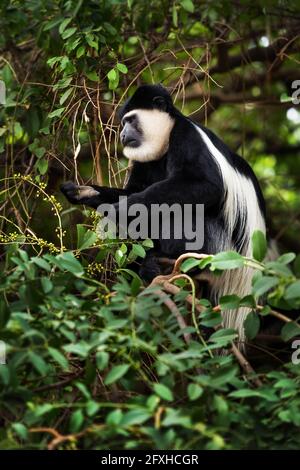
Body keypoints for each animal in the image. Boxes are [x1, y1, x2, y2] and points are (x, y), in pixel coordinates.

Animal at [61, 83, 268, 342]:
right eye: (123, 122)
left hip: (220, 250)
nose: (122, 134)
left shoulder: (186, 136)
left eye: (131, 120)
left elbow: (206, 185)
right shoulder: (144, 160)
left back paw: (171, 257)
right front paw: (83, 192)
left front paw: (123, 209)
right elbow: (134, 189)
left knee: (186, 212)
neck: (166, 140)